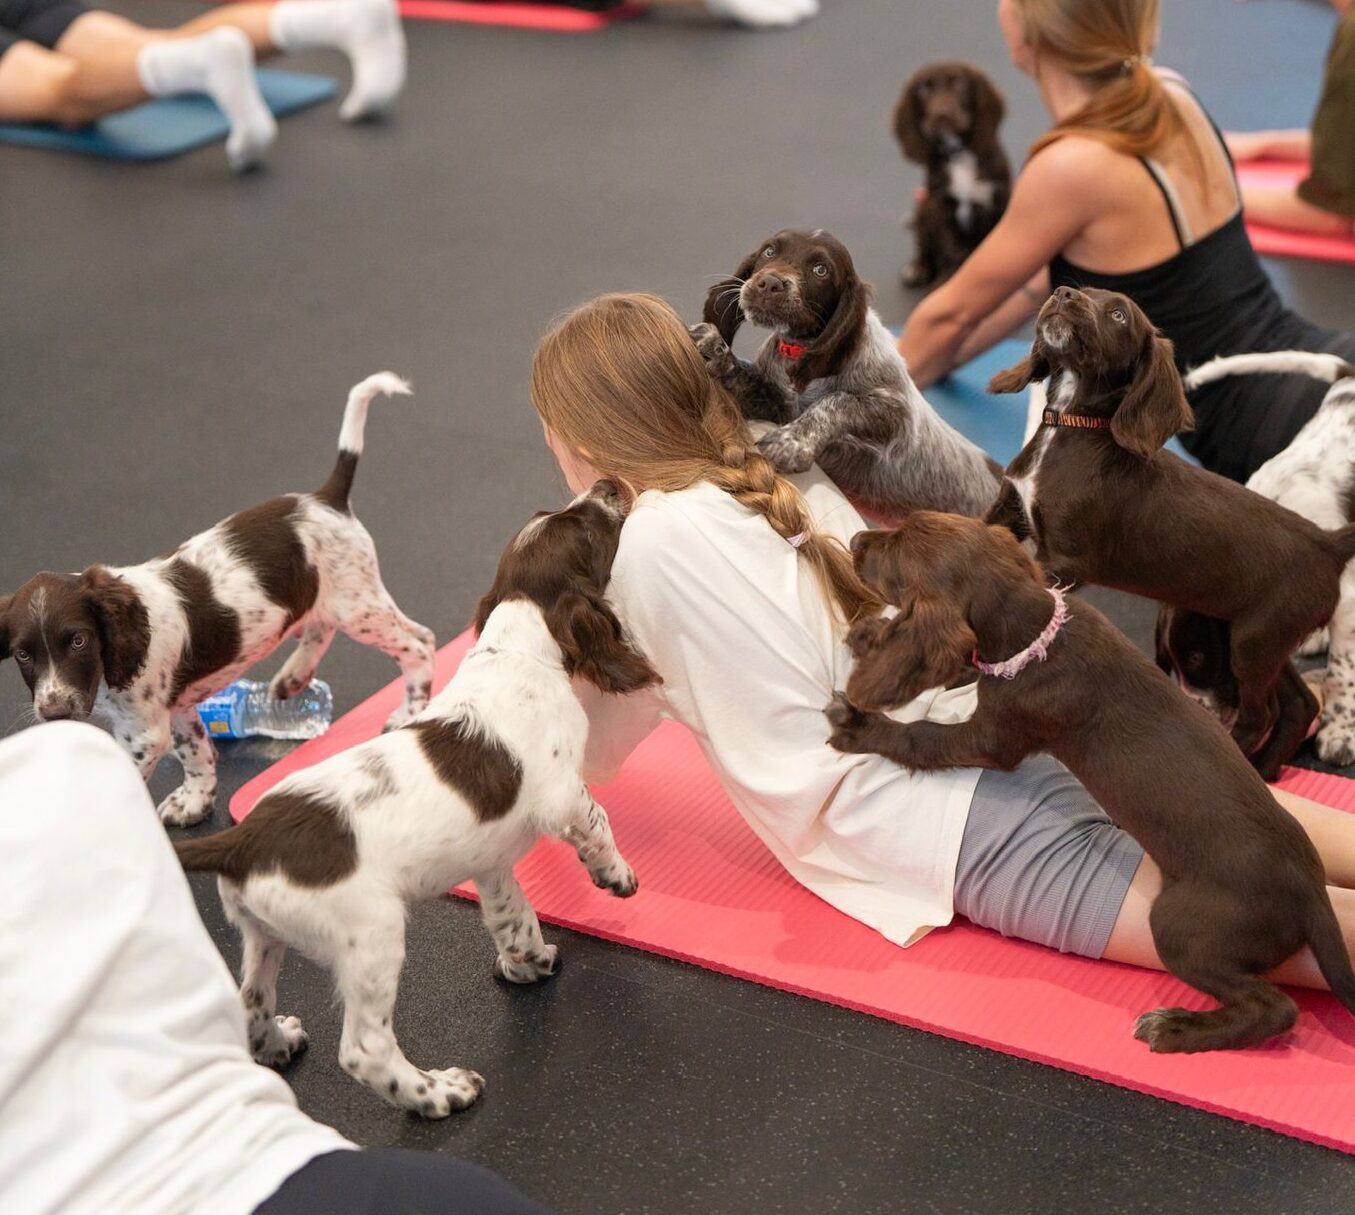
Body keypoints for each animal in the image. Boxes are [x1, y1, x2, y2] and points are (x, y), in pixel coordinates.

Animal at [0, 368, 433, 823]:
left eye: (79, 641)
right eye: (23, 654)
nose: (54, 713)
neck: (112, 665)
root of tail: (325, 498)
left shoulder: (144, 733)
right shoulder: (177, 707)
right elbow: (196, 751)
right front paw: (195, 800)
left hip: (358, 605)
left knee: (419, 642)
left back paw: (410, 710)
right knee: (323, 626)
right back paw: (295, 675)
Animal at [174, 482, 661, 1110]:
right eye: (588, 530)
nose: (607, 486)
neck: (516, 646)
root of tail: (242, 841)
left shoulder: (491, 860)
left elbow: (513, 917)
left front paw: (528, 963)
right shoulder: (562, 795)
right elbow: (598, 824)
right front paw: (617, 879)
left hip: (263, 937)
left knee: (251, 1008)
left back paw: (281, 1041)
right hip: (372, 937)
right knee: (364, 1050)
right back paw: (439, 1092)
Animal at [818, 512, 1355, 1051]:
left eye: (894, 558)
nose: (857, 539)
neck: (1035, 632)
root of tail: (1310, 891)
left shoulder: (995, 738)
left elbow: (924, 736)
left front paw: (862, 727)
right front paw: (870, 635)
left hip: (1181, 926)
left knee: (1274, 1009)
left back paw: (1178, 1028)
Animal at [894, 61, 1013, 289]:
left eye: (959, 83)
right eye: (924, 89)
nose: (942, 116)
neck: (959, 153)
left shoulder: (999, 198)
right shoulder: (940, 205)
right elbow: (951, 252)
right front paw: (945, 281)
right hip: (924, 207)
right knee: (924, 244)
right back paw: (918, 267)